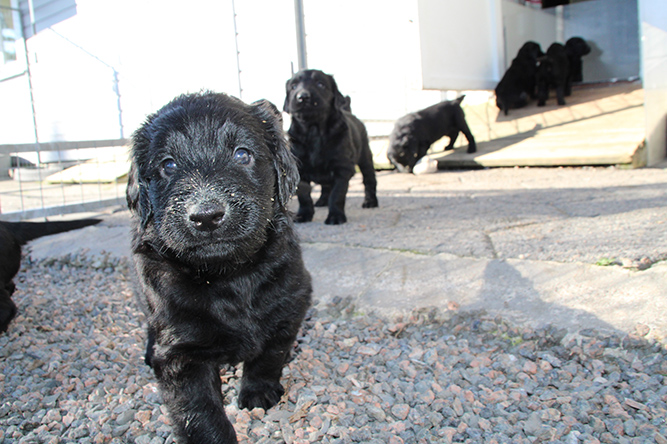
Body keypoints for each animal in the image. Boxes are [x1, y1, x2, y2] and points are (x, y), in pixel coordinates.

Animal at [126, 92, 312, 444]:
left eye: (242, 154)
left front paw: (258, 392)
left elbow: (270, 354)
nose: (206, 216)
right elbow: (198, 410)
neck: (226, 275)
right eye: (168, 165)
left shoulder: (290, 302)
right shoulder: (178, 349)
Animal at [284, 69, 378, 225]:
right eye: (293, 86)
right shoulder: (300, 170)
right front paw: (303, 214)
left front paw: (335, 216)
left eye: (320, 84)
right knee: (326, 186)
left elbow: (337, 194)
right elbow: (304, 195)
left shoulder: (342, 168)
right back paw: (322, 201)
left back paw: (371, 202)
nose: (303, 97)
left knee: (369, 179)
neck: (314, 131)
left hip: (365, 157)